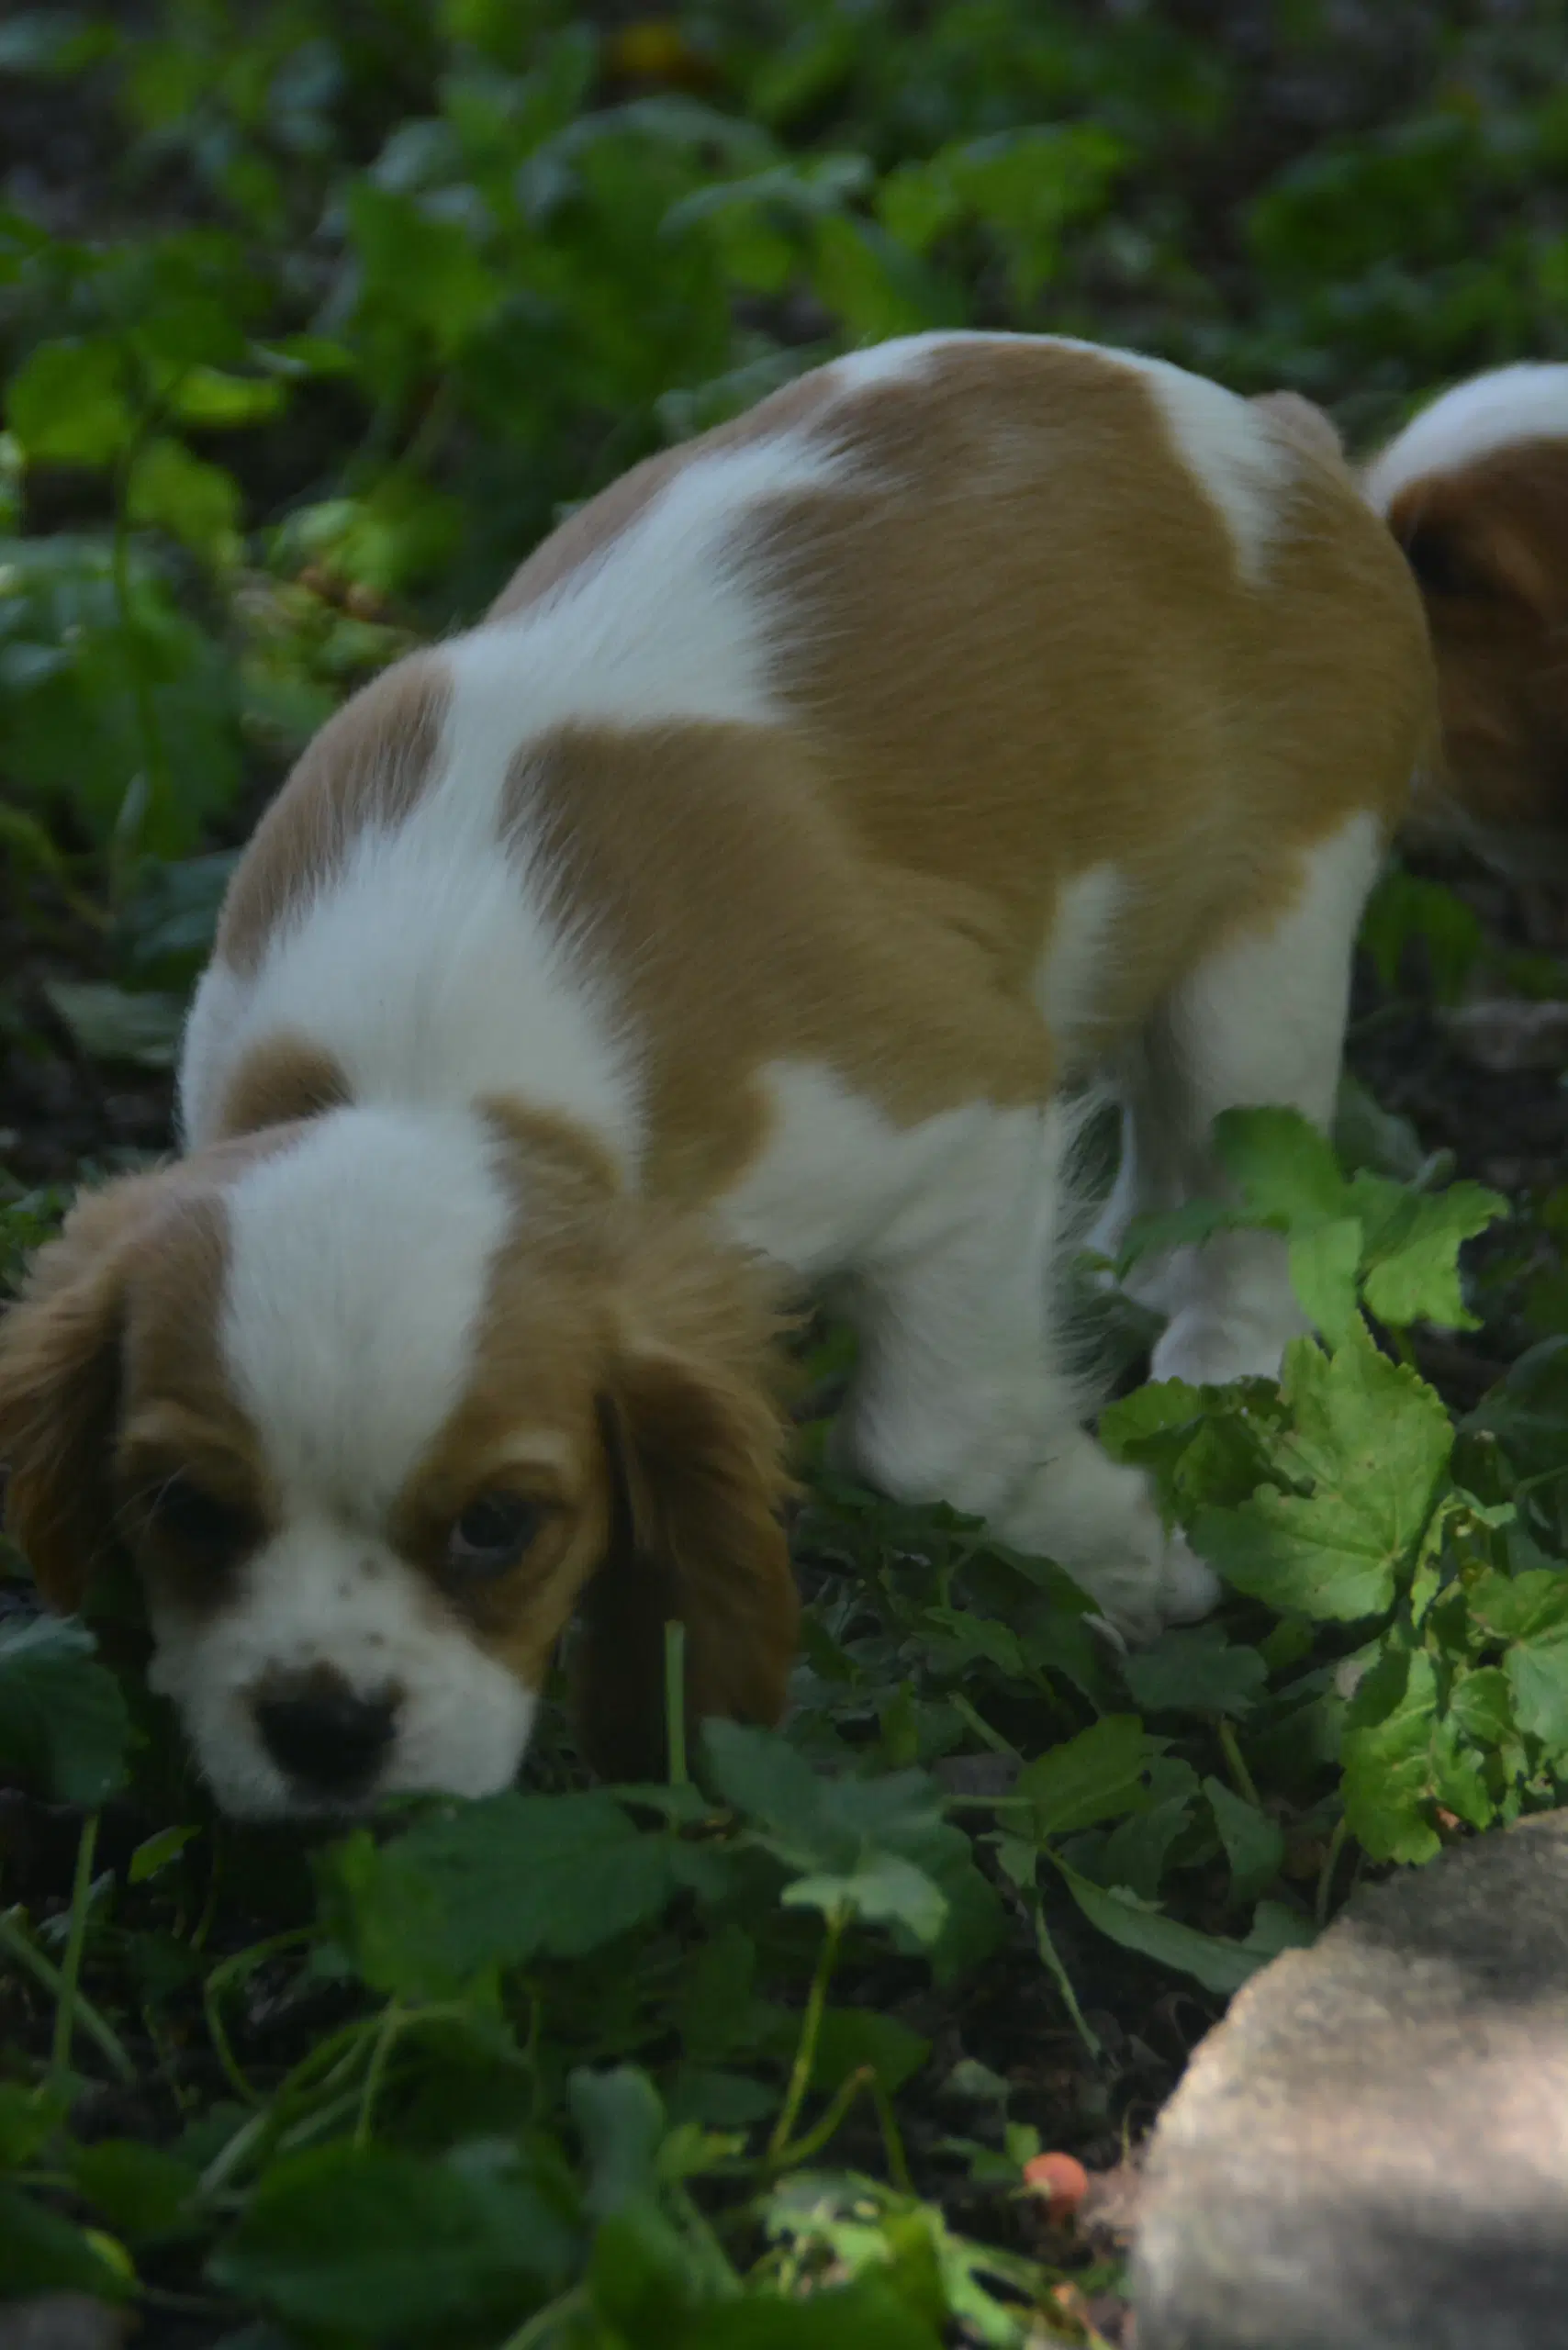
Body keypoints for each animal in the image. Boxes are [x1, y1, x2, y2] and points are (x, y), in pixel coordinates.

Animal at [0, 336, 1439, 1814]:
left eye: (498, 1525)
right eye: (186, 1511)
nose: (325, 1730)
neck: (424, 1075)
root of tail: (1264, 430)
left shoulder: (958, 1115)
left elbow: (930, 1442)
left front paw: (1134, 1559)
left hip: (1269, 945)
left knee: (1258, 1176)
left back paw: (1227, 1364)